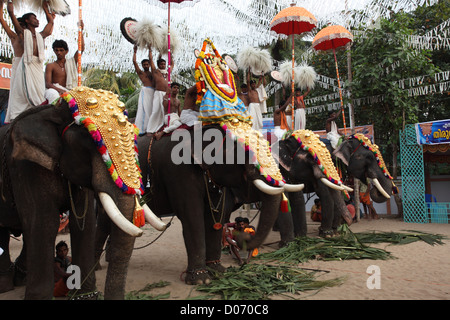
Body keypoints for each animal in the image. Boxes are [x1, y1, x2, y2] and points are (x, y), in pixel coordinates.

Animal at [0, 86, 165, 298]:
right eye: (91, 141)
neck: (52, 110)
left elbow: (84, 224)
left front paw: (86, 295)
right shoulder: (26, 167)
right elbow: (44, 222)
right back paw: (6, 285)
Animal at [137, 123, 304, 284]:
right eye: (244, 153)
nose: (243, 234)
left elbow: (215, 217)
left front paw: (219, 272)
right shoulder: (178, 173)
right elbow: (192, 217)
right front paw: (201, 280)